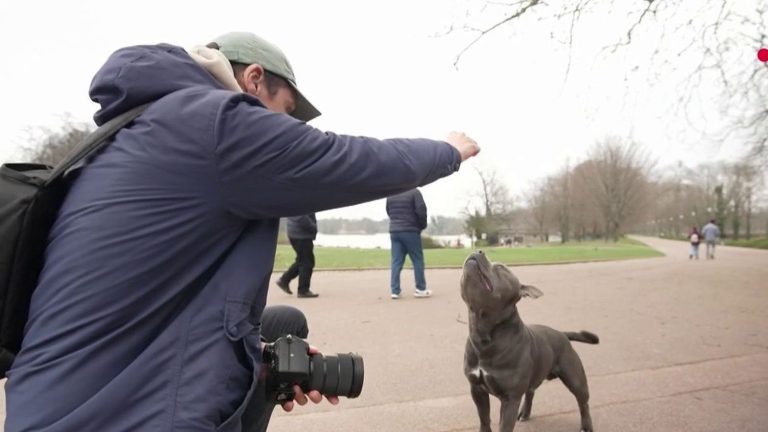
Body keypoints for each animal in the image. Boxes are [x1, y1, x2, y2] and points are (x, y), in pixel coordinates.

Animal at [460, 251, 596, 432]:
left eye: (500, 267)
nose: (478, 251)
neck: (484, 334)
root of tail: (562, 334)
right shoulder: (477, 390)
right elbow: (484, 419)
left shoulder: (510, 398)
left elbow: (504, 426)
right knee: (531, 392)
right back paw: (525, 413)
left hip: (575, 378)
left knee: (583, 402)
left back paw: (586, 426)